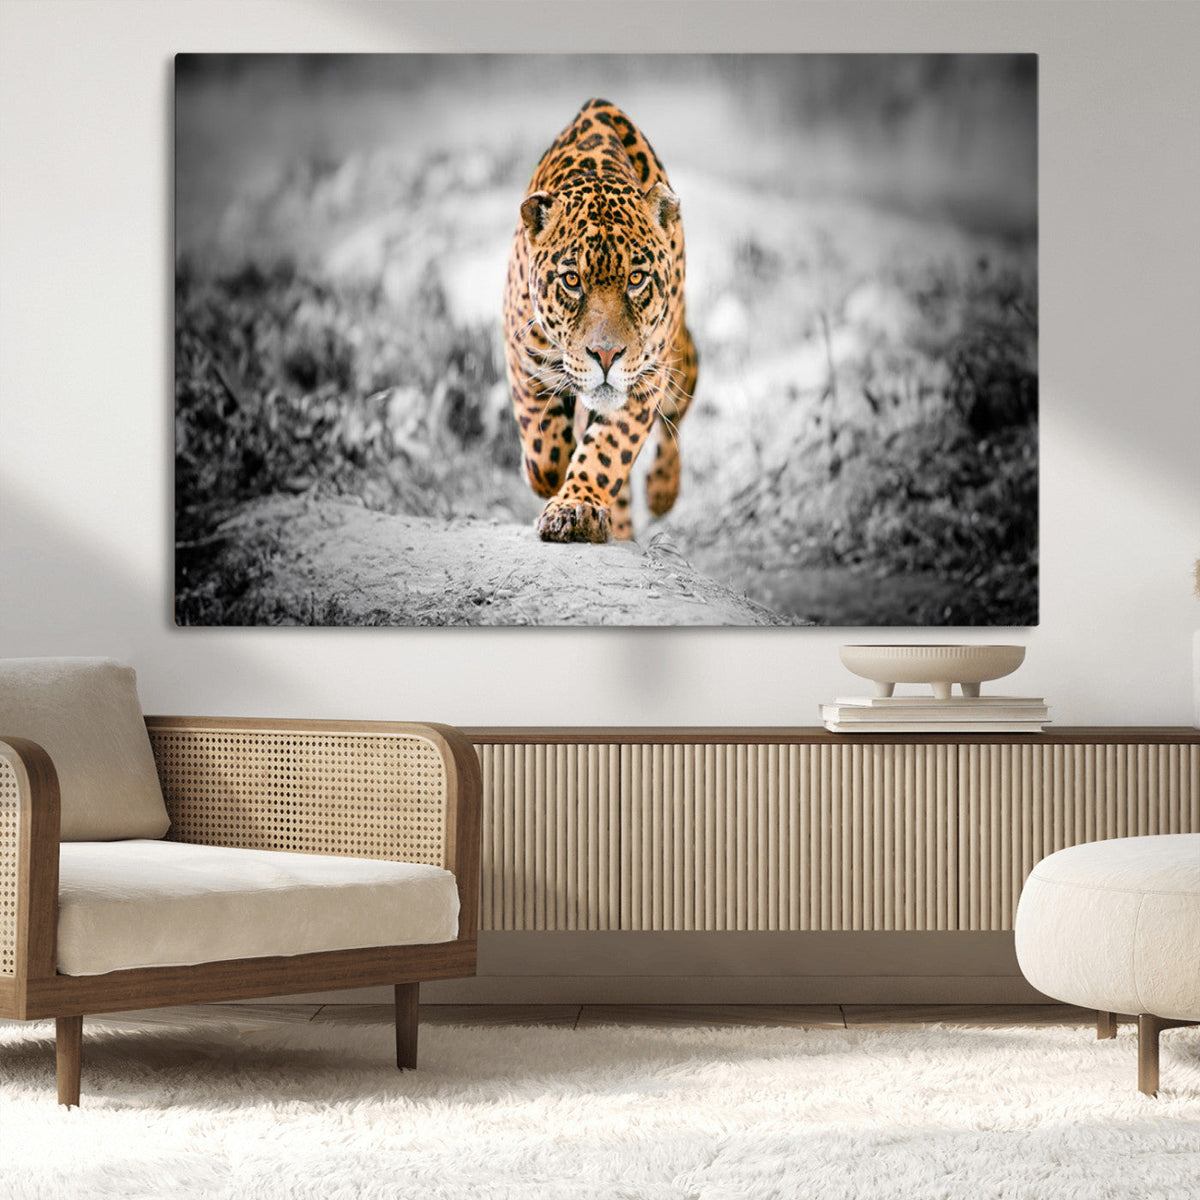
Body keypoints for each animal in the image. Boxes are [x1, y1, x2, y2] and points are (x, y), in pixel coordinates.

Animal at [503, 99, 699, 543]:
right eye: (572, 281)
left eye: (636, 279)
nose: (606, 356)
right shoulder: (522, 353)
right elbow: (543, 450)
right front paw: (549, 478)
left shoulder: (646, 377)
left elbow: (607, 450)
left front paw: (576, 507)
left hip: (680, 361)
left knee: (675, 418)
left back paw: (661, 491)